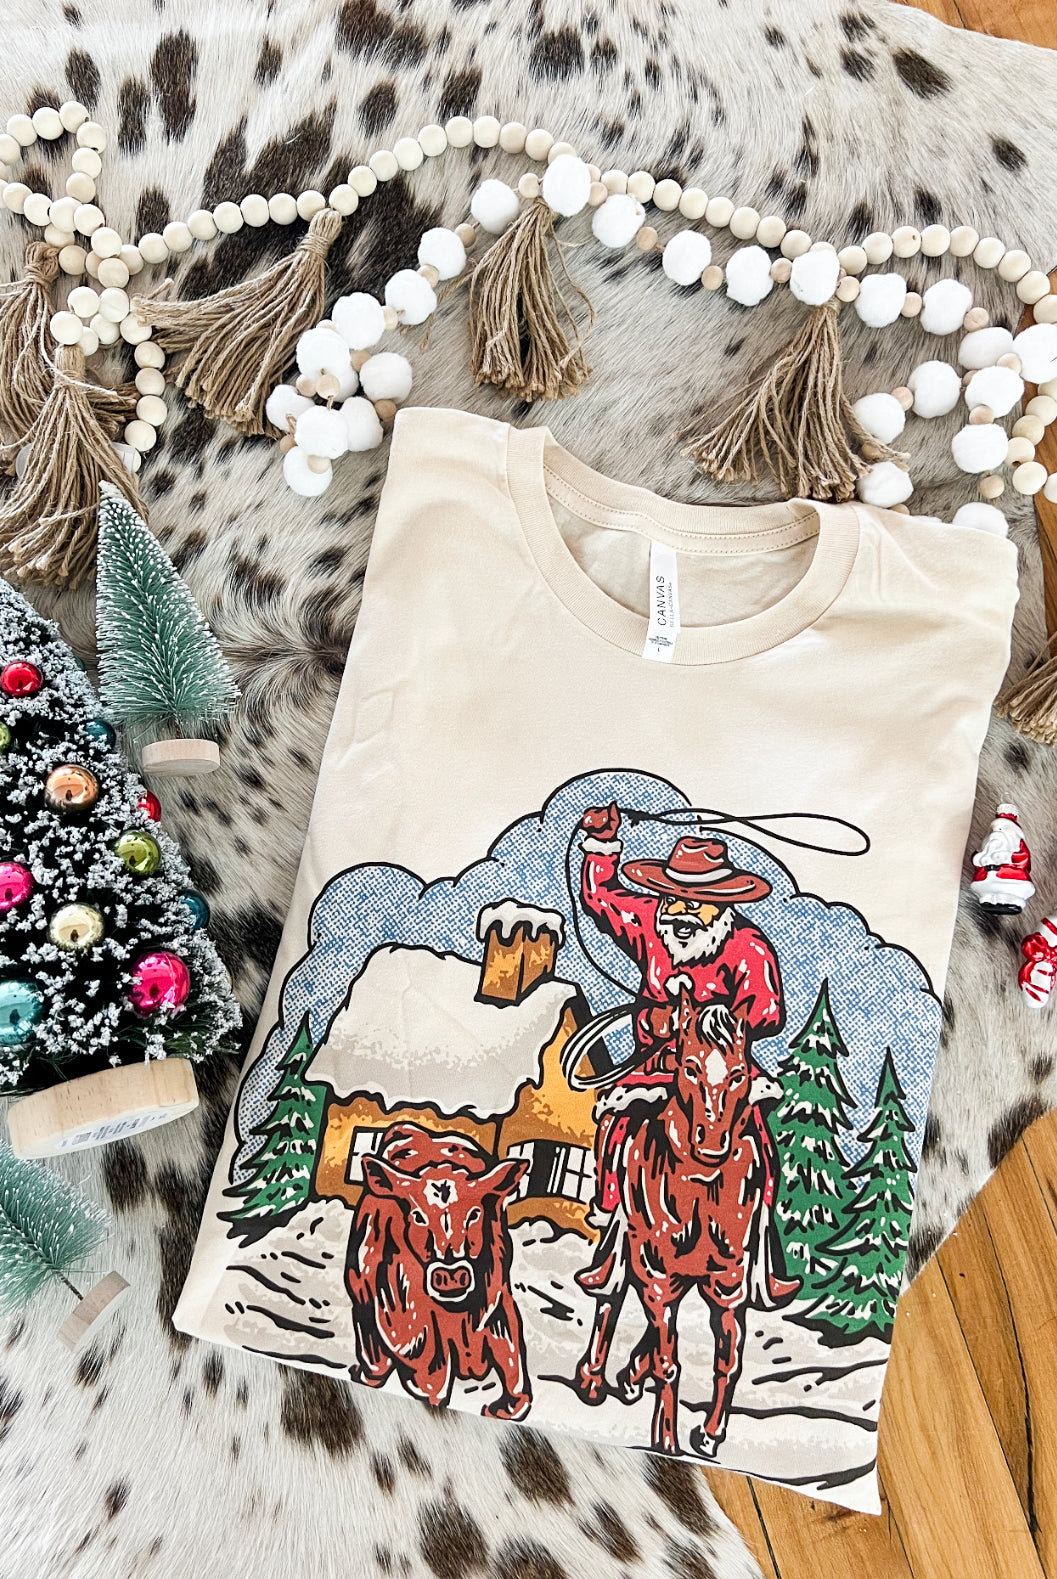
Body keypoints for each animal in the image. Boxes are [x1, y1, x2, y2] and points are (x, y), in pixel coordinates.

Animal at [571, 981, 776, 1458]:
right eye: (689, 1067)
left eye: (739, 1073)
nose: (713, 1141)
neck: (700, 1186)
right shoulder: (655, 1271)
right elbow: (668, 1361)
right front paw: (665, 1439)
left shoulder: (727, 1283)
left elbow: (729, 1360)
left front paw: (710, 1434)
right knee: (610, 1296)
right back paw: (594, 1378)